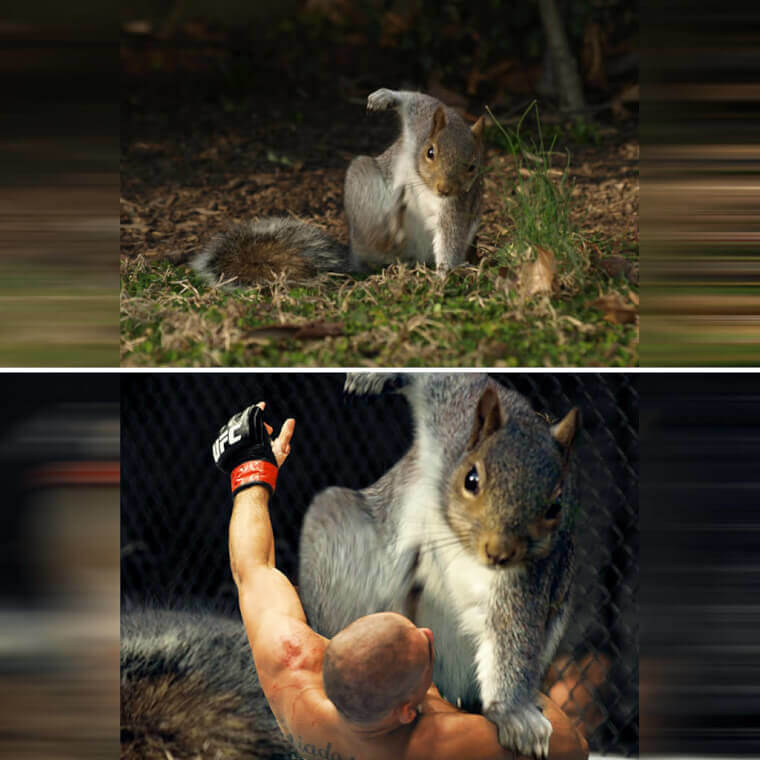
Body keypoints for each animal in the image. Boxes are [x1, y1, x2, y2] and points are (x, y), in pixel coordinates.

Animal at [189, 89, 485, 285]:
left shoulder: (457, 205)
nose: (444, 189)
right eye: (430, 152)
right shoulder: (420, 121)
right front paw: (384, 97)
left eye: (473, 166)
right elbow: (416, 100)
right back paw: (387, 230)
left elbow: (451, 235)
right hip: (361, 181)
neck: (423, 182)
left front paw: (445, 274)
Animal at [298, 373, 580, 760]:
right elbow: (440, 378)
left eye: (555, 508)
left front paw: (513, 715)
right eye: (471, 479)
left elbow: (511, 635)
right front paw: (373, 377)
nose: (499, 552)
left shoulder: (526, 577)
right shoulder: (449, 413)